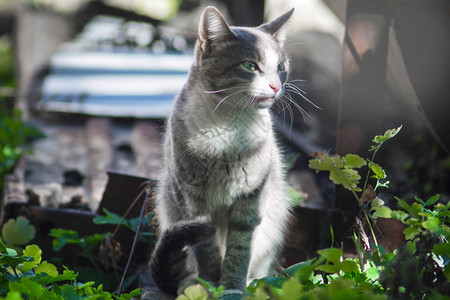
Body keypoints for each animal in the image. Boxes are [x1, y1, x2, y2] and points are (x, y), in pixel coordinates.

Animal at [150, 6, 296, 298]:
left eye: (281, 67)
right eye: (250, 65)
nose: (276, 86)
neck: (226, 128)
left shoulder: (252, 196)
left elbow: (240, 248)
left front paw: (231, 288)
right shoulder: (191, 199)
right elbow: (206, 250)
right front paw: (208, 285)